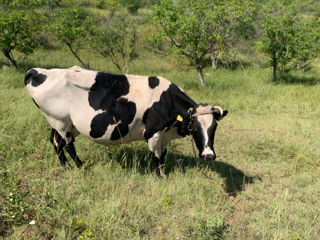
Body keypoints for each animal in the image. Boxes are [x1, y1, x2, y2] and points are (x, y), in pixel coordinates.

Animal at [24, 65, 228, 176]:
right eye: (194, 128)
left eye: (214, 127)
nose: (208, 155)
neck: (166, 100)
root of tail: (37, 71)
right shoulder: (152, 132)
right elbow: (157, 157)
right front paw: (160, 176)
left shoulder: (164, 134)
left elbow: (163, 155)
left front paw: (163, 173)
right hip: (61, 121)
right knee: (67, 145)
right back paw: (81, 166)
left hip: (61, 123)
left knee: (55, 142)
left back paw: (66, 166)